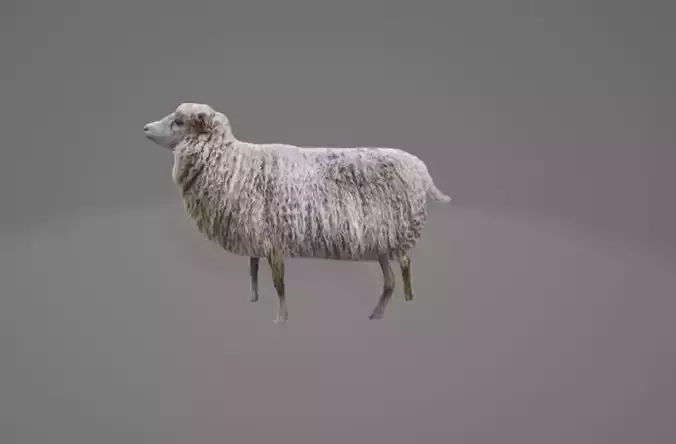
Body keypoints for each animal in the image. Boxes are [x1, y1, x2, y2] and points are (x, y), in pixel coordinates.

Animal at [143, 102, 451, 323]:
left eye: (179, 121)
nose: (145, 128)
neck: (233, 162)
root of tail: (420, 169)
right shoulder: (256, 234)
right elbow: (252, 269)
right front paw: (253, 299)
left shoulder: (274, 241)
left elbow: (279, 284)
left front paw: (281, 319)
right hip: (383, 239)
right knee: (398, 273)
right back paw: (393, 306)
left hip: (392, 234)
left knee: (398, 273)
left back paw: (392, 308)